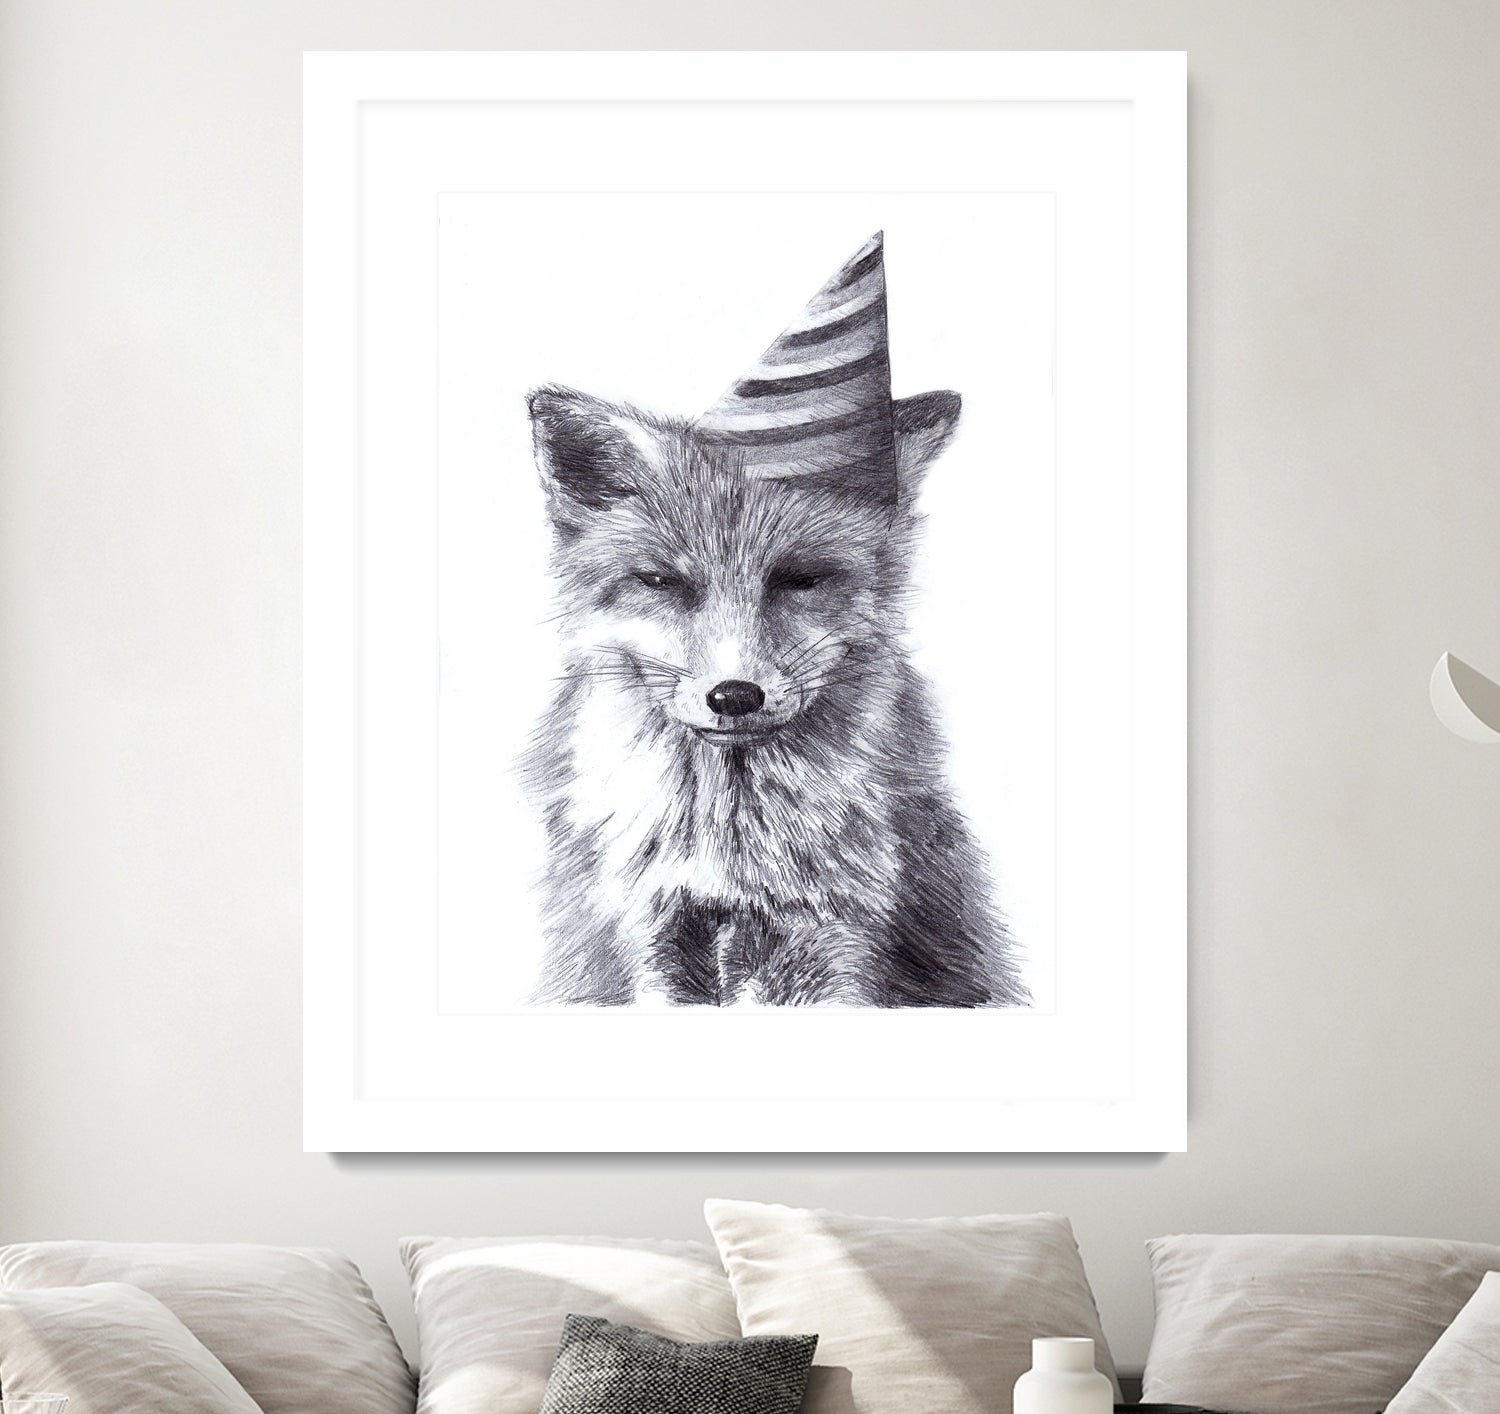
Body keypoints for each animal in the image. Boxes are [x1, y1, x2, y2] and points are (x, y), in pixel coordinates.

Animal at [517, 234, 1029, 1008]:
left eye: (801, 579)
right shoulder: (647, 939)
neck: (730, 857)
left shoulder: (837, 942)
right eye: (661, 582)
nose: (735, 696)